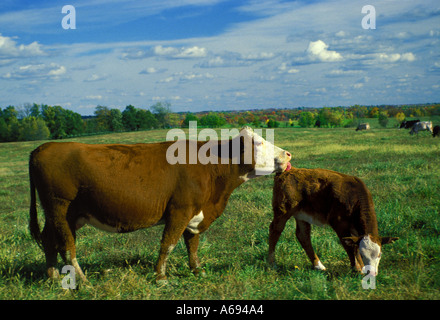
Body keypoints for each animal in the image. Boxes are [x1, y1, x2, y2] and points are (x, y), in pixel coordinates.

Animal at [30, 127, 292, 282]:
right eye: (258, 143)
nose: (287, 154)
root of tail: (43, 147)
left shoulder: (195, 213)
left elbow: (192, 245)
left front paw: (197, 271)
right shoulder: (180, 210)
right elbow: (168, 244)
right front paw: (161, 277)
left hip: (63, 214)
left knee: (49, 241)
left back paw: (53, 276)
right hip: (60, 208)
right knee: (67, 245)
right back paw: (83, 281)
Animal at [268, 168, 398, 276]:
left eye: (379, 254)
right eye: (363, 254)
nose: (371, 273)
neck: (354, 198)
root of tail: (285, 172)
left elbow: (354, 245)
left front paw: (360, 267)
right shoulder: (339, 223)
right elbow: (349, 247)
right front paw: (357, 269)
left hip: (301, 214)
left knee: (303, 236)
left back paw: (318, 266)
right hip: (283, 210)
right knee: (275, 230)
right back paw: (272, 263)